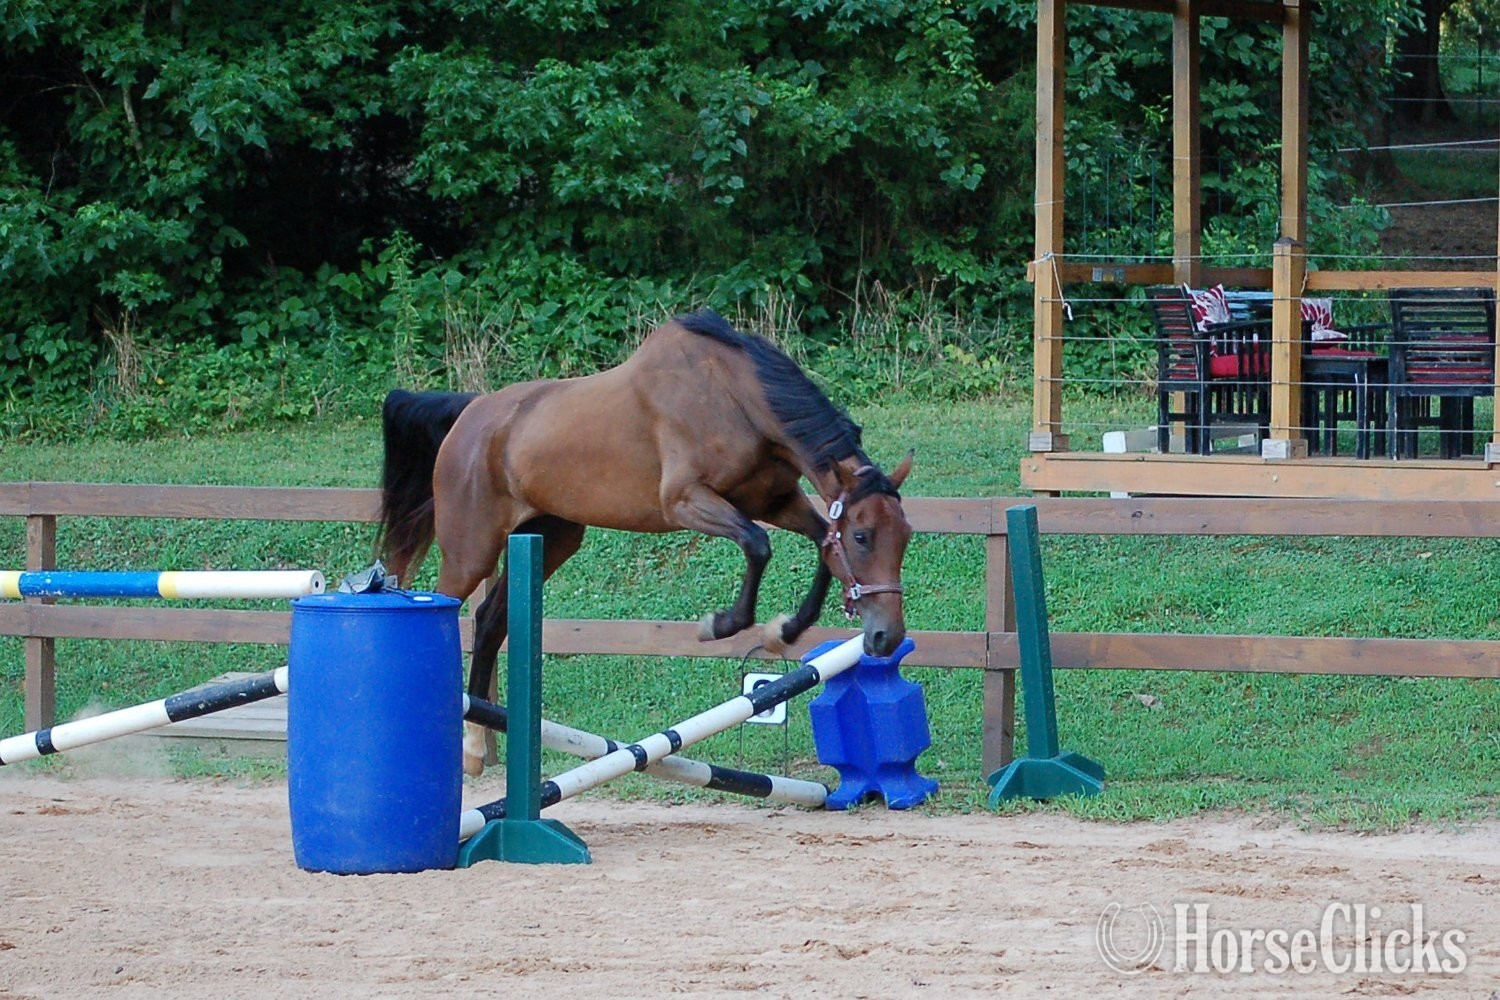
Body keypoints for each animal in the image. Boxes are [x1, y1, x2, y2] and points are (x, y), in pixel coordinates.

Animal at [377, 308, 914, 776]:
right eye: (863, 536)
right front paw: (721, 625)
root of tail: (470, 414)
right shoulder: (686, 500)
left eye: (904, 537)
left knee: (490, 621)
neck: (739, 400)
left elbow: (822, 542)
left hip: (553, 537)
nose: (886, 638)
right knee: (446, 603)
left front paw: (783, 629)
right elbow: (759, 544)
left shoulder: (776, 500)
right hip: (472, 549)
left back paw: (473, 747)